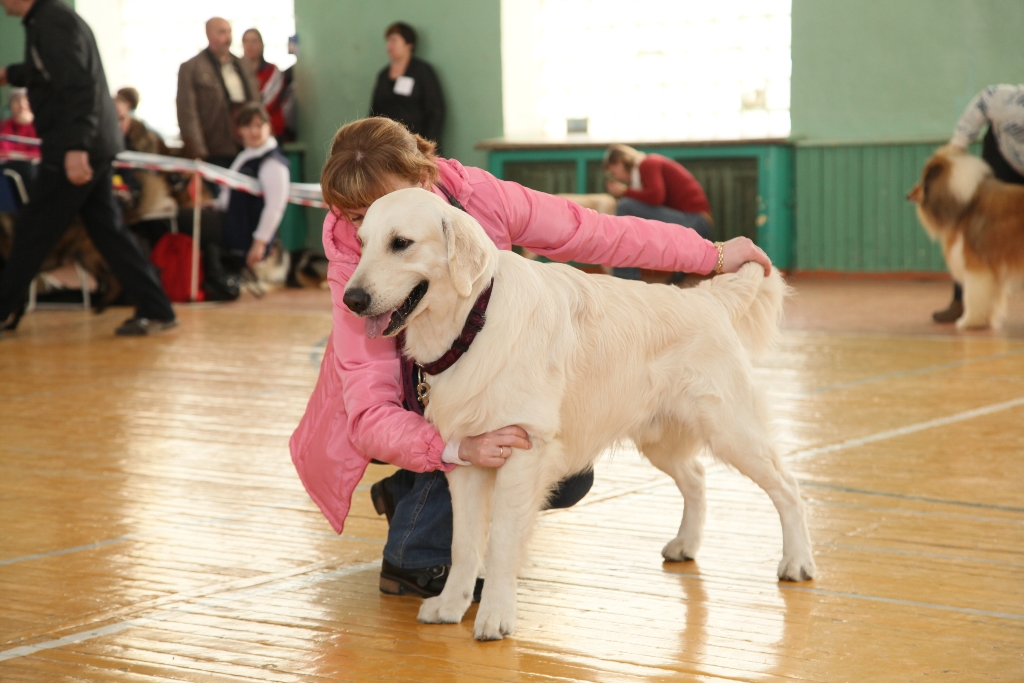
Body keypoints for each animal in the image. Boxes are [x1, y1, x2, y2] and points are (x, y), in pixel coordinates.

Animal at [909, 145, 1024, 329]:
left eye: (923, 179)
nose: (908, 194)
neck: (966, 204)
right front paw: (987, 319)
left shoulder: (975, 266)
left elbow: (972, 295)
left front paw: (969, 321)